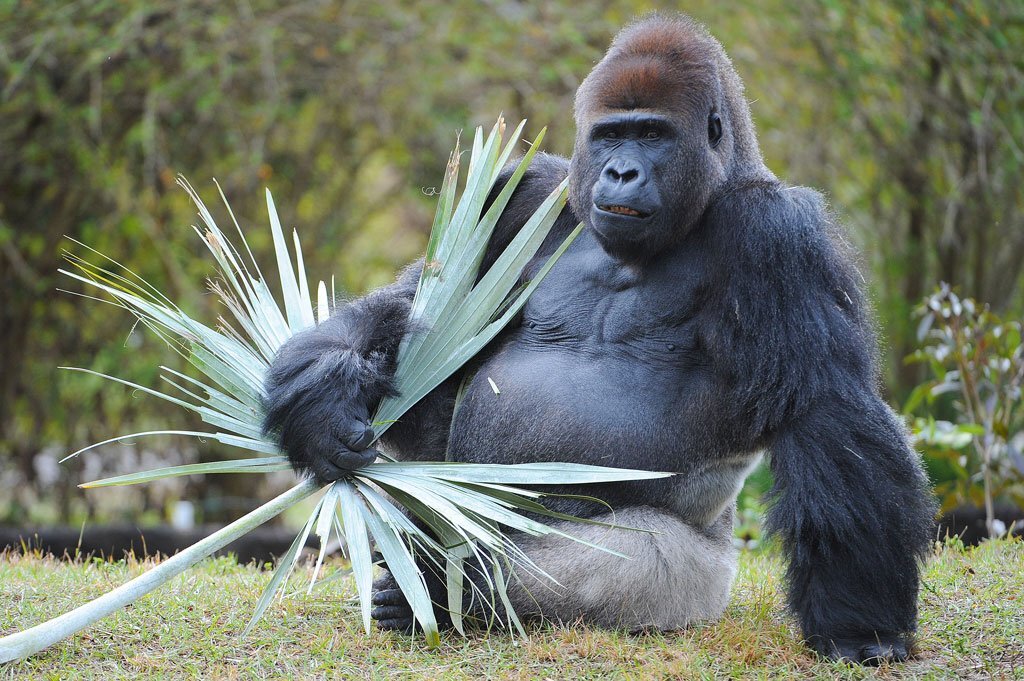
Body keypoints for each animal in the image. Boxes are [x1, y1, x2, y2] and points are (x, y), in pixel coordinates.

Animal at [264, 14, 937, 663]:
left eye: (654, 134)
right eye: (612, 135)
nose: (620, 170)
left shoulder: (781, 237)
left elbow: (828, 414)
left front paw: (858, 626)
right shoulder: (526, 194)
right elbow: (423, 309)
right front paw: (322, 397)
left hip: (708, 577)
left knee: (624, 562)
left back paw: (450, 588)